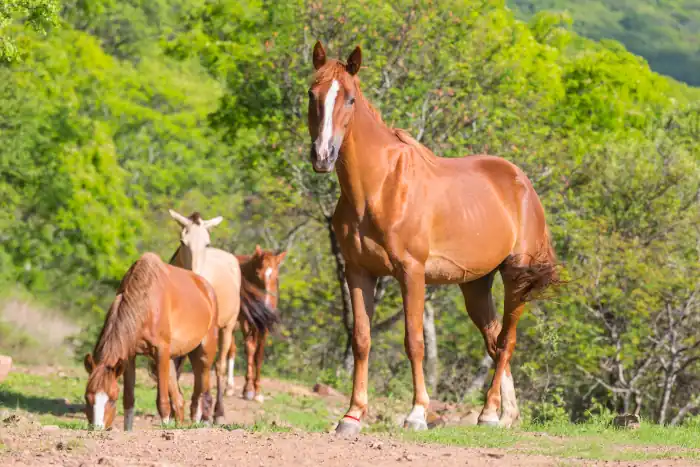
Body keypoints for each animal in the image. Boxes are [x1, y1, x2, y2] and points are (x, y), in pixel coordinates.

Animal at [83, 252, 220, 430]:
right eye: (87, 397)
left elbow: (162, 401)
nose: (97, 428)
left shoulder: (160, 352)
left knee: (201, 392)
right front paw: (128, 430)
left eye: (112, 399)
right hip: (172, 359)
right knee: (179, 400)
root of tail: (208, 289)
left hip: (204, 351)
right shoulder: (129, 356)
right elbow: (129, 399)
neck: (146, 301)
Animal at [226, 245, 286, 402]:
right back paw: (229, 387)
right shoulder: (245, 321)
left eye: (276, 277)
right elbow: (250, 349)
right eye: (258, 274)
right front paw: (248, 389)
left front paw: (257, 391)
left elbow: (259, 354)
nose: (266, 307)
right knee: (231, 350)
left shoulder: (263, 326)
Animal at [306, 41, 560, 435]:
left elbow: (414, 342)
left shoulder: (411, 273)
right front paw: (352, 415)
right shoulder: (358, 271)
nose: (322, 156)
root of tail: (523, 186)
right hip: (475, 285)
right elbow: (361, 339)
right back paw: (500, 415)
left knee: (506, 341)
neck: (379, 187)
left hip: (516, 277)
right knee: (493, 341)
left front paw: (416, 414)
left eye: (349, 99)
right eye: (312, 93)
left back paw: (490, 412)